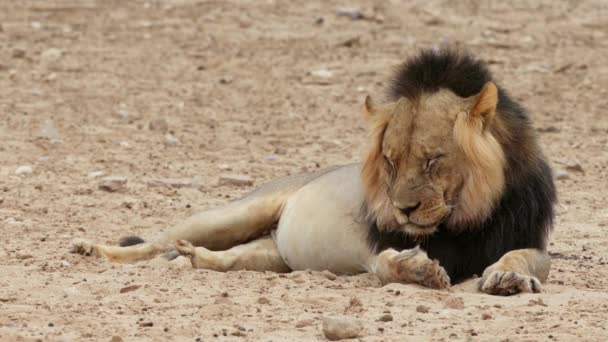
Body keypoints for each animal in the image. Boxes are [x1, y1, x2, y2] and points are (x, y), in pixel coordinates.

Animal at [71, 47, 556, 294]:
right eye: (390, 161)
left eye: (433, 160)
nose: (403, 209)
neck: (464, 217)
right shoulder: (373, 247)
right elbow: (386, 264)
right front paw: (417, 271)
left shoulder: (526, 238)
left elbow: (528, 259)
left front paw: (509, 276)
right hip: (231, 214)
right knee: (154, 243)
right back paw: (94, 250)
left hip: (271, 255)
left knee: (228, 259)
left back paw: (197, 258)